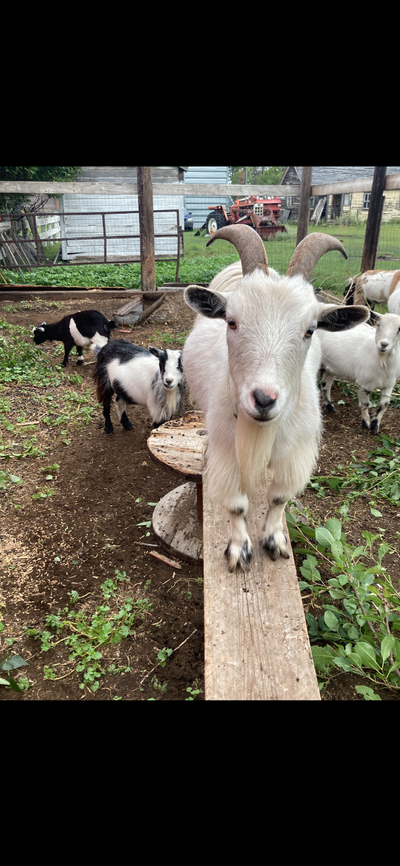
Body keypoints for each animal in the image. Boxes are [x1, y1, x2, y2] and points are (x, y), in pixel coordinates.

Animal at [182, 225, 368, 572]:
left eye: (310, 330)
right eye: (231, 321)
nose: (263, 399)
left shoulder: (295, 453)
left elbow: (279, 497)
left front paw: (275, 540)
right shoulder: (228, 454)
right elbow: (237, 505)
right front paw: (239, 551)